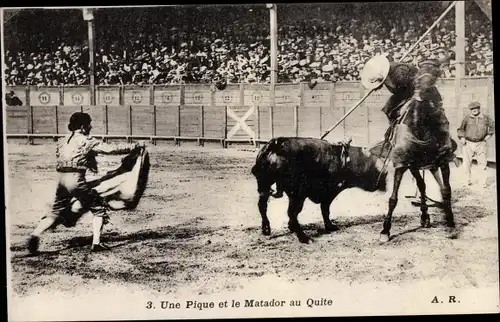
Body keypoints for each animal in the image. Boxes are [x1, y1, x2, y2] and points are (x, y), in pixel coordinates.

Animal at [252, 136, 388, 244]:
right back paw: (304, 238)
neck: (345, 159)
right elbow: (325, 210)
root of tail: (275, 145)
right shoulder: (329, 192)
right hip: (297, 195)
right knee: (291, 212)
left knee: (263, 206)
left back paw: (266, 229)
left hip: (265, 186)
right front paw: (330, 226)